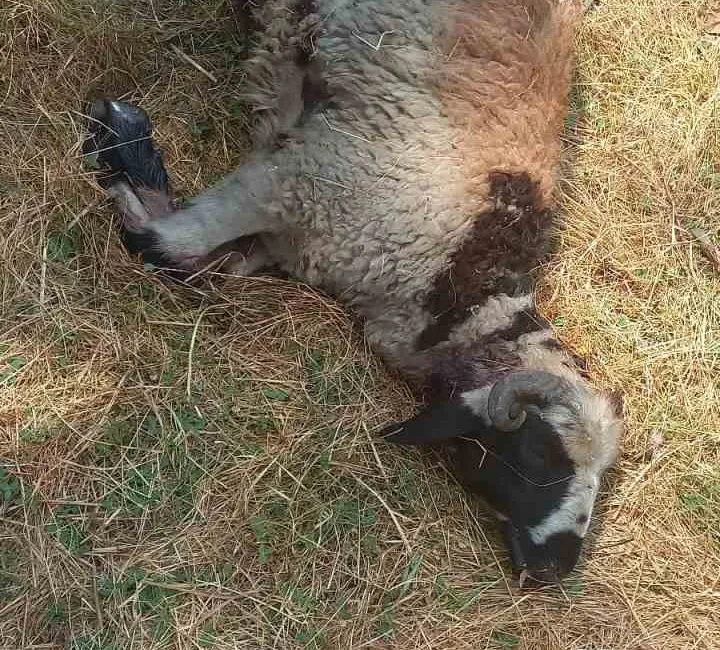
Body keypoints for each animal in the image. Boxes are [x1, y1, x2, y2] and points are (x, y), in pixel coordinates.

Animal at [83, 0, 624, 584]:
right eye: (542, 453)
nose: (557, 566)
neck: (454, 282)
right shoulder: (297, 178)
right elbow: (158, 243)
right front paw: (122, 133)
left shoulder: (287, 235)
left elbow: (201, 269)